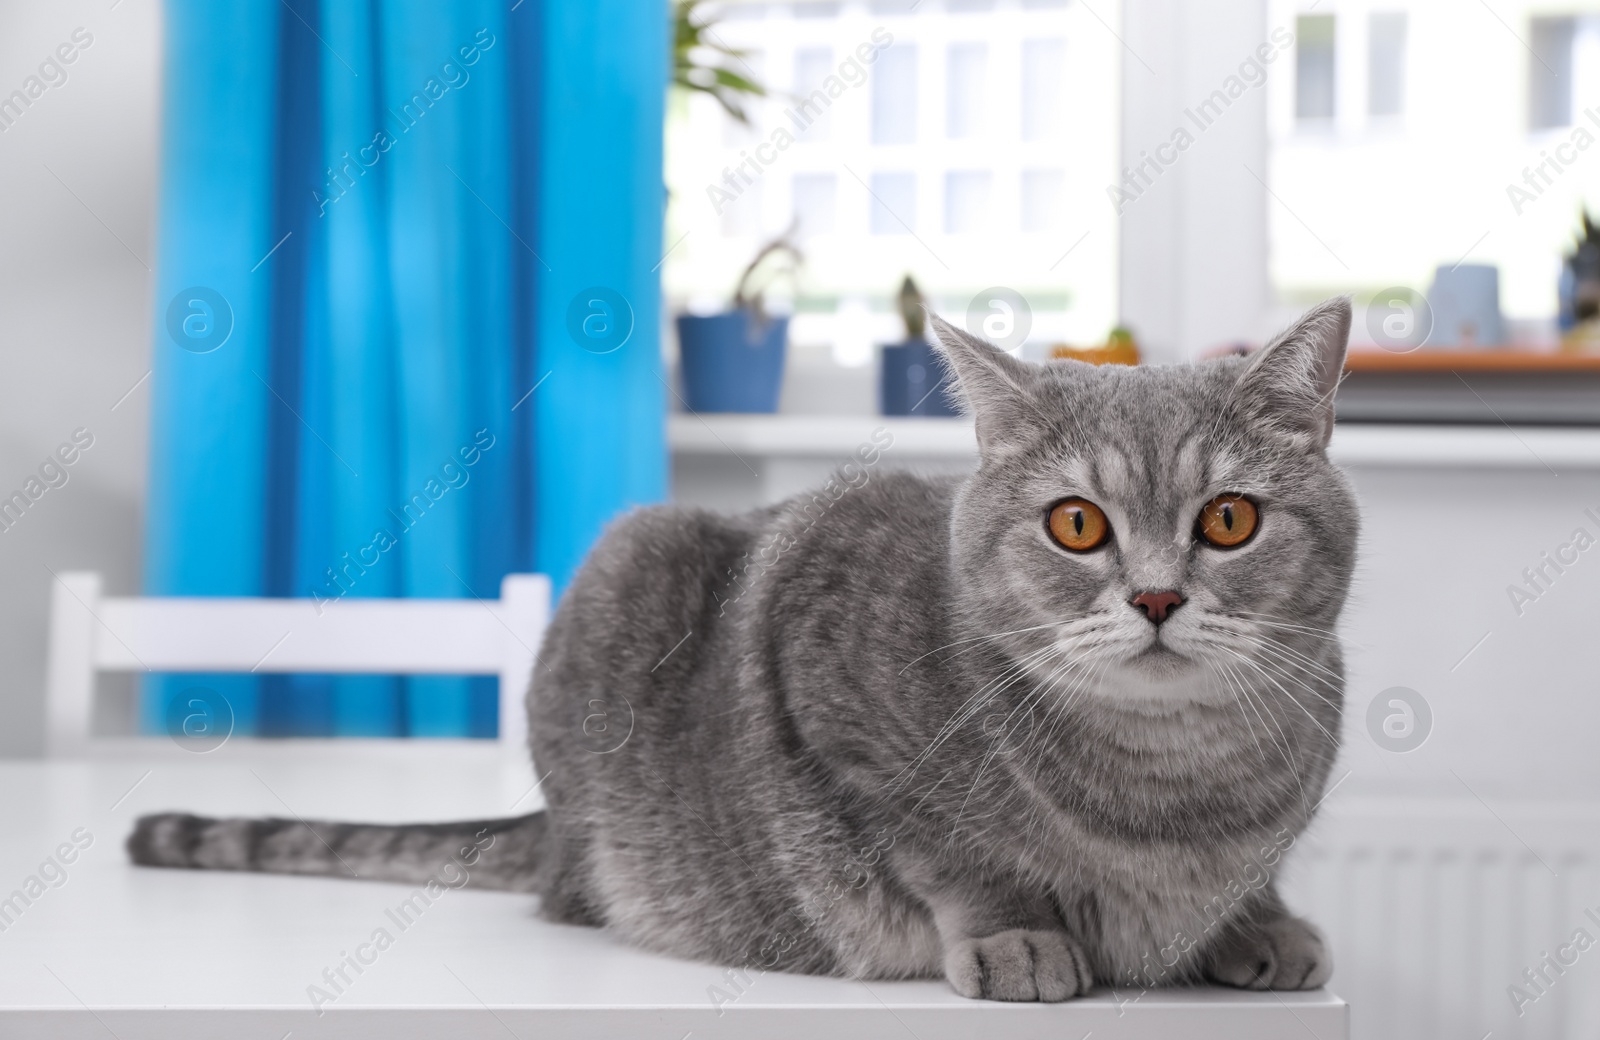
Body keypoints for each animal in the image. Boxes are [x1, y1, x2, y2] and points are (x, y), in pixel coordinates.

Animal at [124, 296, 1356, 998]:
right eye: (1077, 525)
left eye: (1228, 520)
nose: (1155, 596)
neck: (1171, 786)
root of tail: (554, 833)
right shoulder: (824, 677)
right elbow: (949, 849)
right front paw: (1019, 931)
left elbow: (1258, 871)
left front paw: (1259, 921)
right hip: (630, 559)